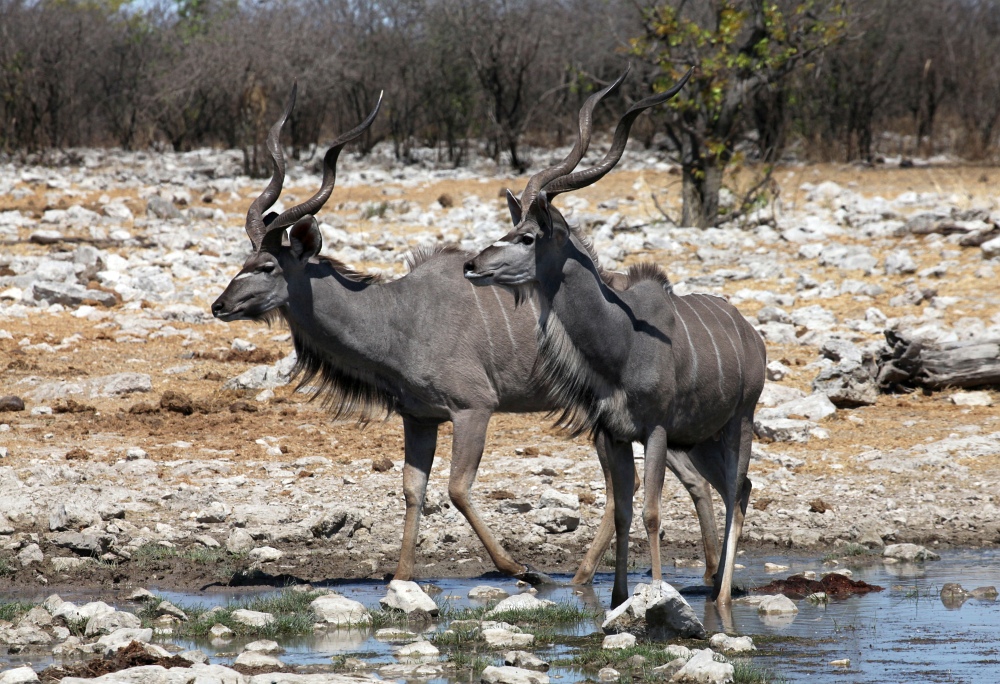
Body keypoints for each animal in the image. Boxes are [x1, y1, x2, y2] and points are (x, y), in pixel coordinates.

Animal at [213, 84, 728, 588]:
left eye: (267, 266)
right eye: (244, 261)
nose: (219, 305)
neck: (400, 316)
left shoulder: (473, 409)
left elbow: (457, 489)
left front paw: (523, 569)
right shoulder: (419, 418)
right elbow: (412, 489)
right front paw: (402, 577)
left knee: (635, 485)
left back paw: (590, 576)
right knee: (679, 481)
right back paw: (700, 569)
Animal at [462, 67, 764, 608]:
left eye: (527, 237)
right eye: (511, 228)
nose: (472, 265)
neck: (620, 343)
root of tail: (753, 338)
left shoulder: (656, 430)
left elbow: (651, 512)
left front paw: (656, 595)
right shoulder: (613, 434)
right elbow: (622, 510)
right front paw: (621, 597)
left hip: (740, 422)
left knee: (737, 489)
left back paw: (723, 597)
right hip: (703, 438)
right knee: (741, 488)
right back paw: (716, 590)